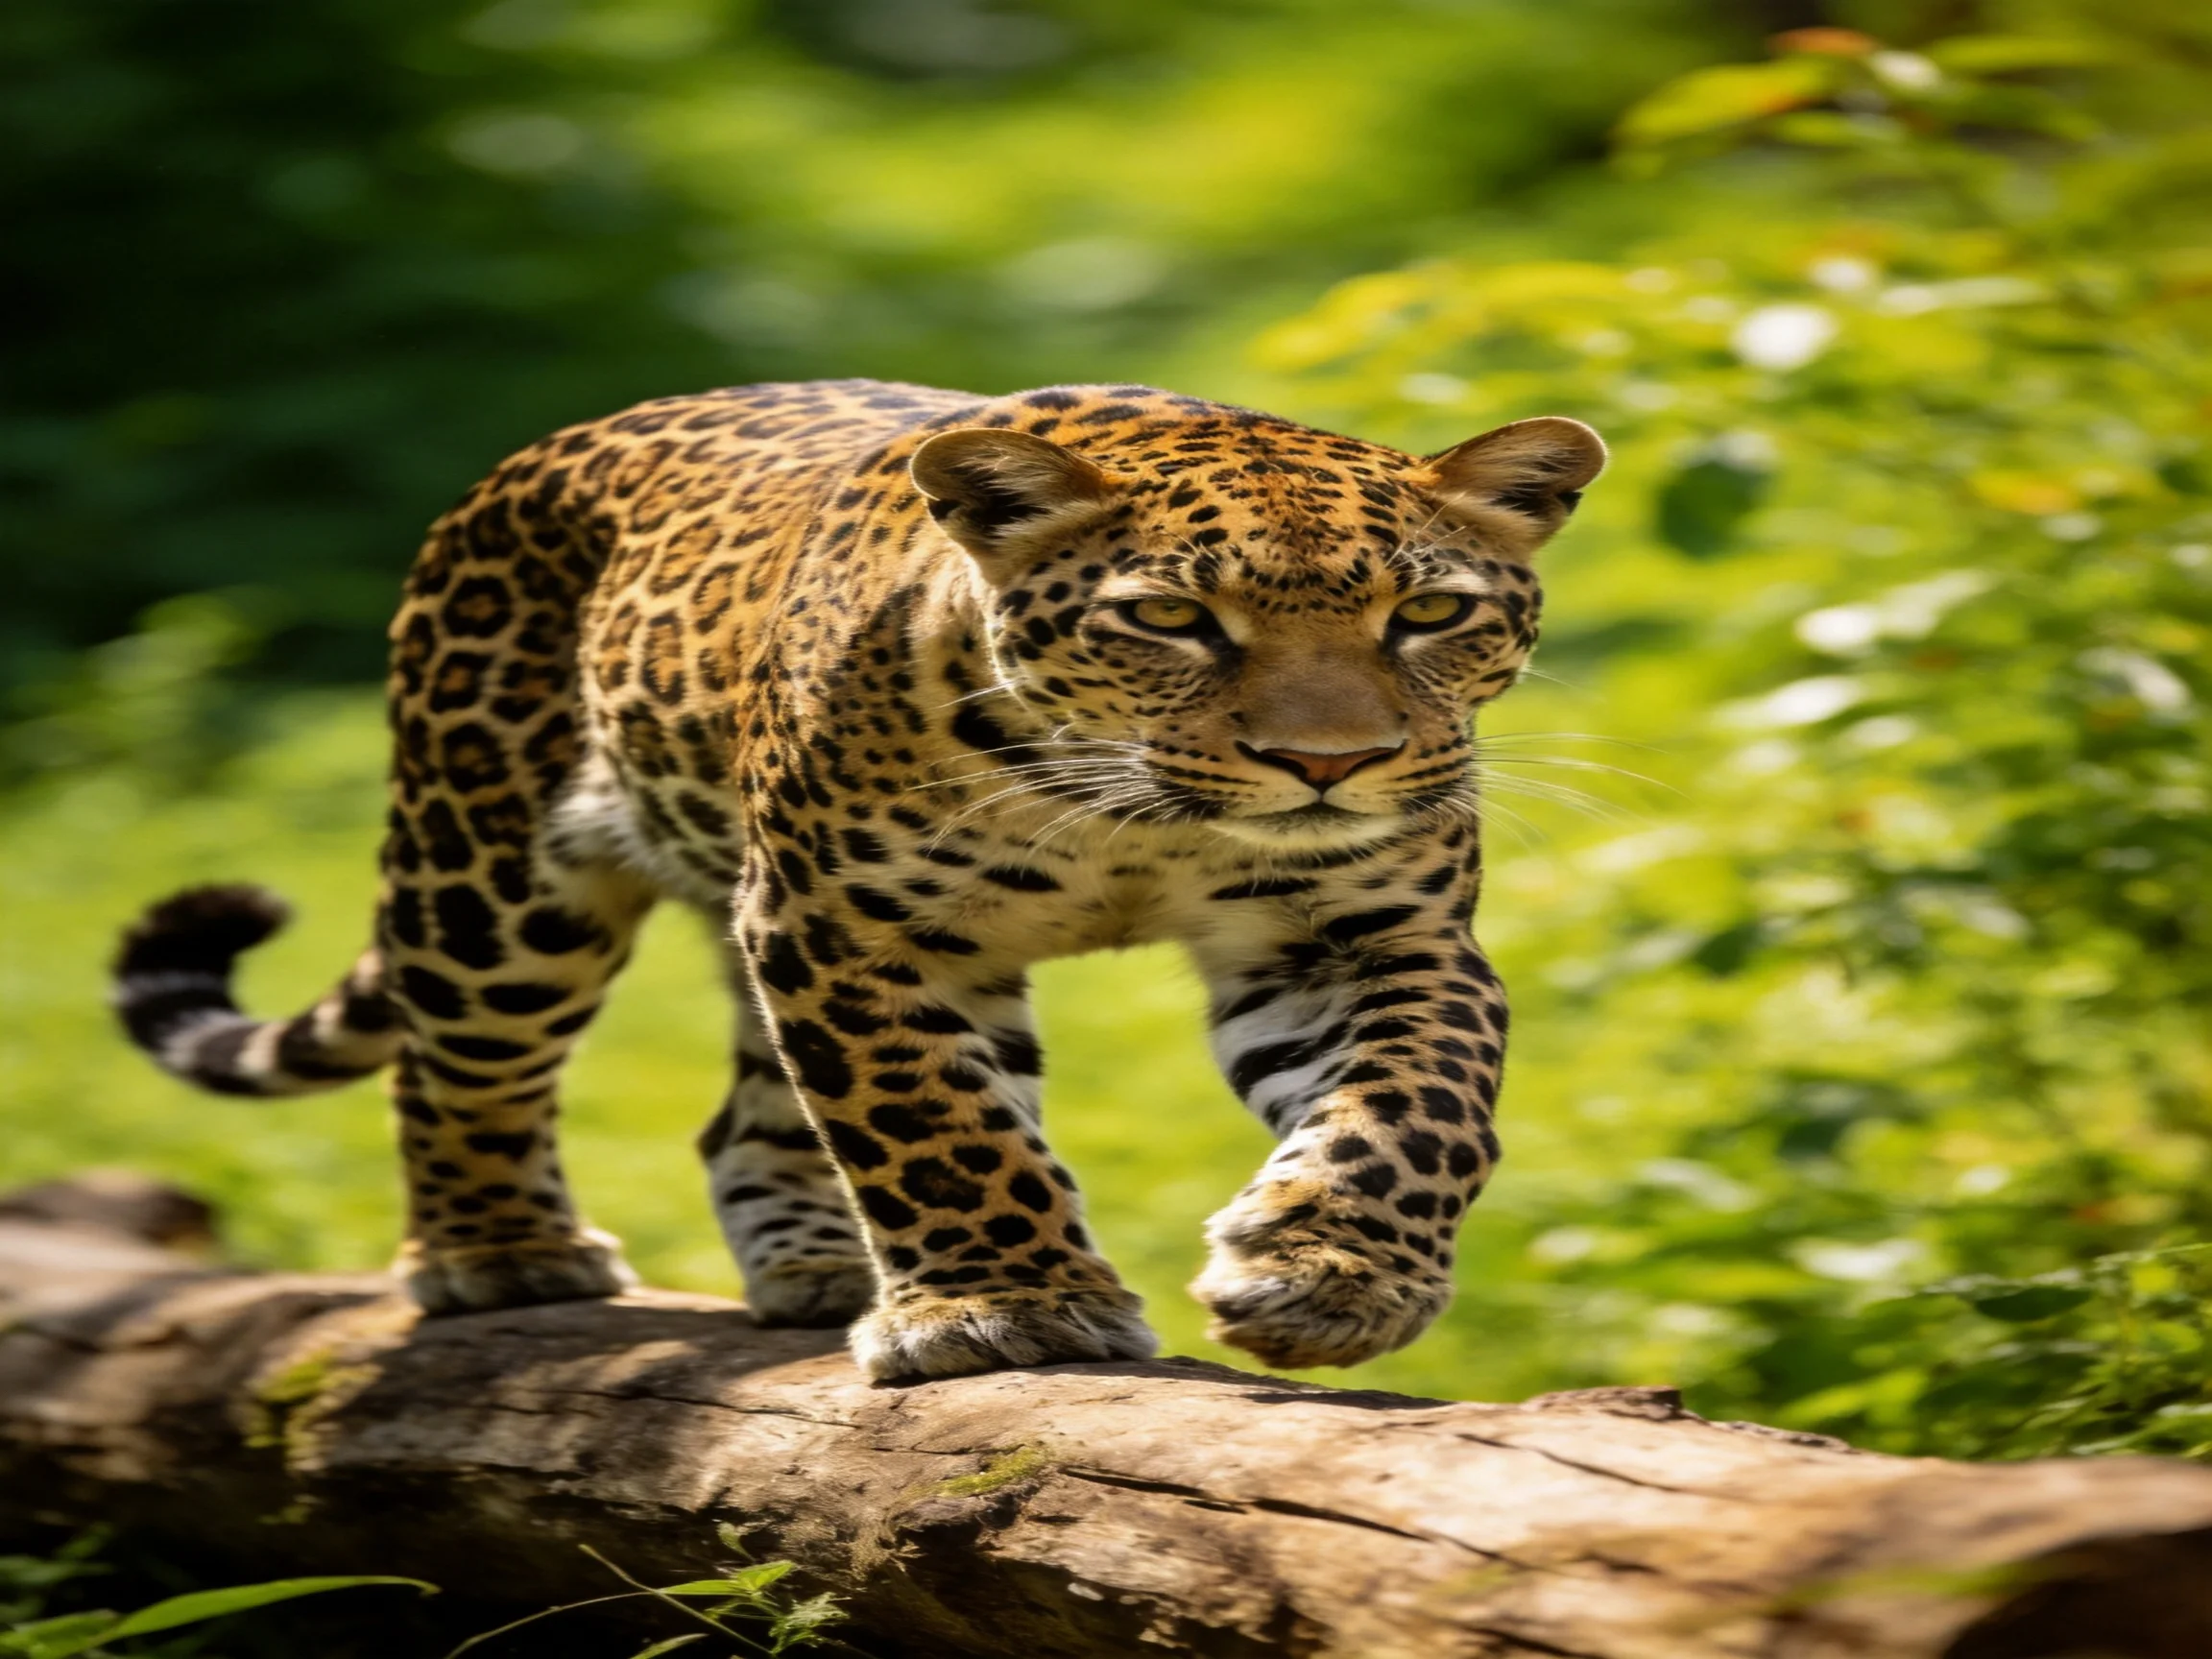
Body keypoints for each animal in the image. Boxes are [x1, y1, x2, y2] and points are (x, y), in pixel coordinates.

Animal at [111, 379, 1605, 1381]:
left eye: (1431, 614)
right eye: (1172, 618)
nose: (1326, 764)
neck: (1129, 822)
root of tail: (537, 452)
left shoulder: (1367, 935)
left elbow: (1415, 1105)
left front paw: (1328, 1275)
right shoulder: (848, 929)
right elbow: (934, 1122)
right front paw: (1008, 1311)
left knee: (746, 1118)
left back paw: (819, 1266)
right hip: (492, 879)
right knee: (456, 1061)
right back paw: (501, 1251)